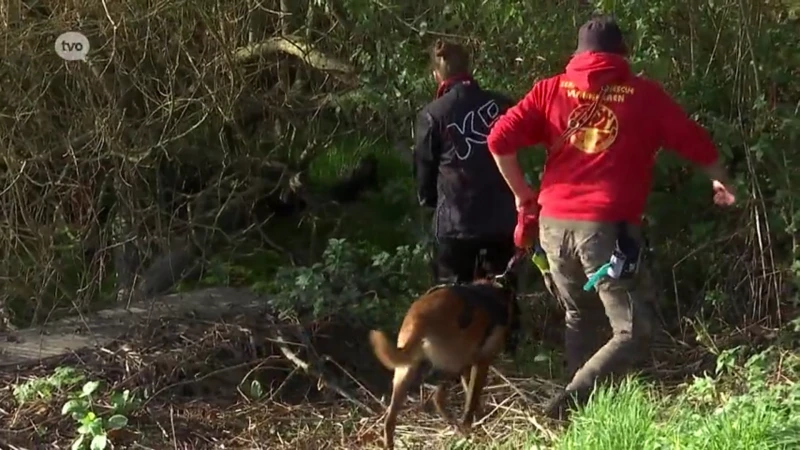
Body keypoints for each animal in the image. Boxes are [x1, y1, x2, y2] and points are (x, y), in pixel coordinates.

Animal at [368, 274, 520, 450]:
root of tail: (418, 319)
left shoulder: (470, 364)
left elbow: (469, 392)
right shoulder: (482, 361)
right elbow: (472, 398)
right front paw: (472, 421)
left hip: (405, 373)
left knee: (390, 419)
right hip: (452, 365)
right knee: (438, 398)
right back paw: (459, 427)